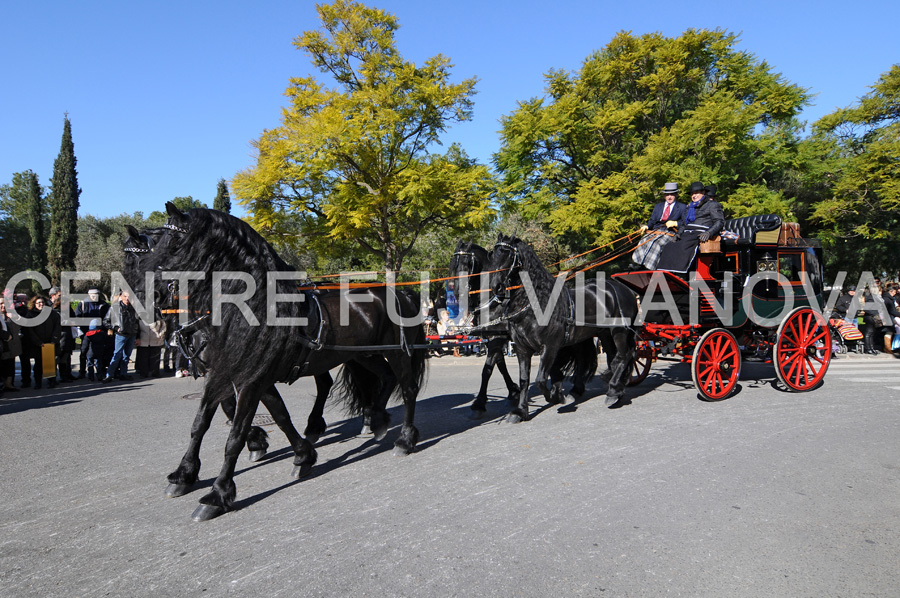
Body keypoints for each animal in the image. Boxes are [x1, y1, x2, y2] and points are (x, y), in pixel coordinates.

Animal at [125, 205, 428, 520]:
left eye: (173, 243)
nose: (145, 298)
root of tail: (402, 291)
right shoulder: (230, 374)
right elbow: (217, 421)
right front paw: (185, 474)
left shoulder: (251, 380)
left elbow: (235, 434)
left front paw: (218, 493)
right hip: (364, 354)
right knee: (382, 379)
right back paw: (374, 420)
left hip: (397, 352)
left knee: (407, 390)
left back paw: (404, 439)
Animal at [488, 232, 636, 424]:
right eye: (493, 254)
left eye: (508, 254)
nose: (495, 287)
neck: (536, 302)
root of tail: (622, 288)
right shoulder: (522, 349)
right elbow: (524, 380)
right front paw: (520, 411)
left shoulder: (550, 347)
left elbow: (541, 379)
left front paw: (556, 396)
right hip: (604, 333)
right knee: (613, 358)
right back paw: (612, 388)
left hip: (619, 331)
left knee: (625, 355)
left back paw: (613, 392)